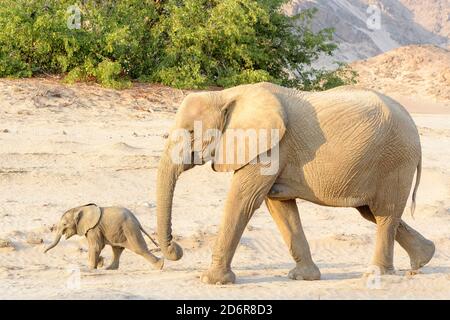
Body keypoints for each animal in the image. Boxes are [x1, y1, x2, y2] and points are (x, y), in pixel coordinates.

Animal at [154, 83, 432, 284]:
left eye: (191, 132)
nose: (176, 249)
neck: (226, 95)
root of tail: (416, 131)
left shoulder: (270, 149)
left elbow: (244, 201)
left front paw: (210, 280)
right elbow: (280, 207)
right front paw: (303, 277)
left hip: (395, 161)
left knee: (384, 214)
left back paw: (377, 274)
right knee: (371, 212)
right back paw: (424, 258)